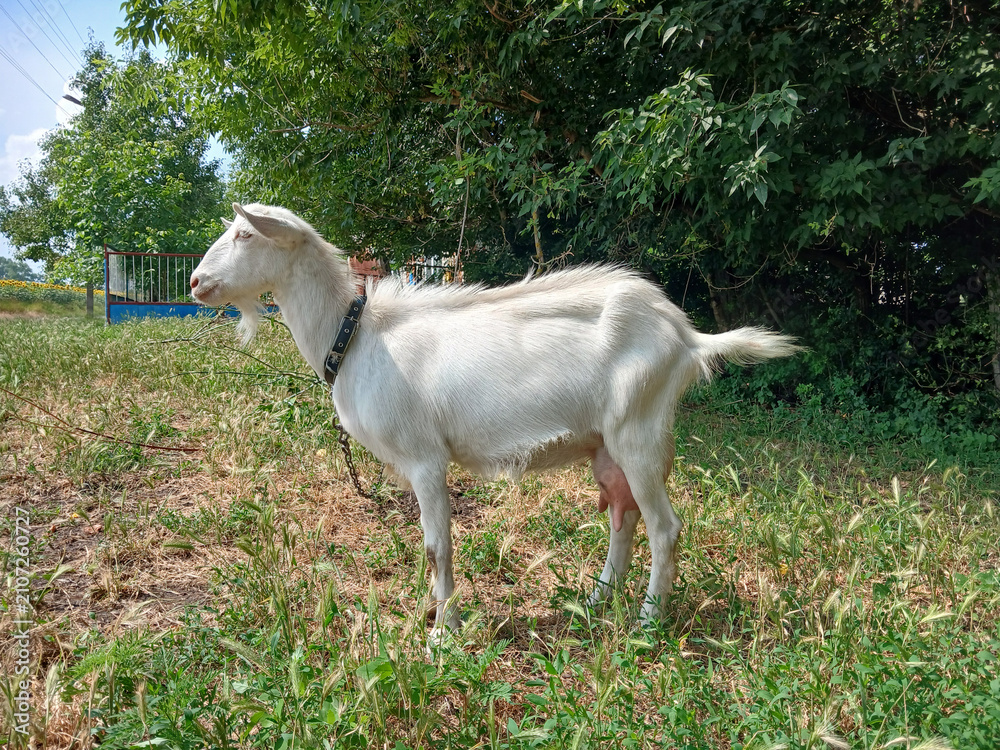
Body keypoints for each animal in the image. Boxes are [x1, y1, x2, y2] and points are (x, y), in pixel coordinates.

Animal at [191, 203, 799, 635]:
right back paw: (596, 601)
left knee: (664, 526)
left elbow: (436, 545)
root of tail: (688, 337)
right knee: (622, 519)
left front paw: (444, 631)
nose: (196, 282)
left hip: (640, 432)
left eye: (246, 234)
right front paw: (434, 616)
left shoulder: (425, 459)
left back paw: (648, 621)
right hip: (609, 446)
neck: (358, 336)